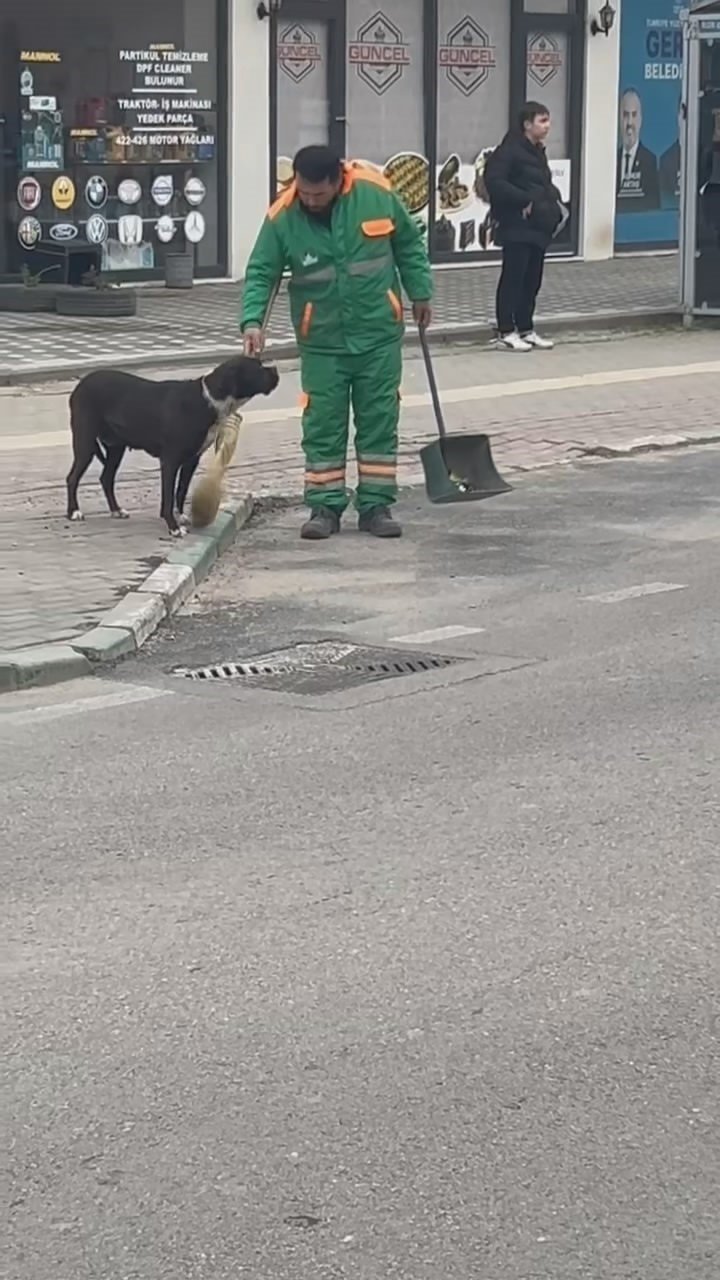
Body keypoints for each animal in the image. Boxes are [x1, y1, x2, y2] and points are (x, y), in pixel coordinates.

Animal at [65, 355, 278, 535]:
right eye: (257, 368)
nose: (275, 370)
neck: (208, 399)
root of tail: (80, 384)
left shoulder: (192, 460)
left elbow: (181, 490)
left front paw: (181, 516)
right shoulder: (170, 460)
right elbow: (168, 496)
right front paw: (173, 527)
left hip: (116, 448)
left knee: (106, 478)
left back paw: (116, 510)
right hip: (85, 443)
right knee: (72, 478)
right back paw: (74, 512)